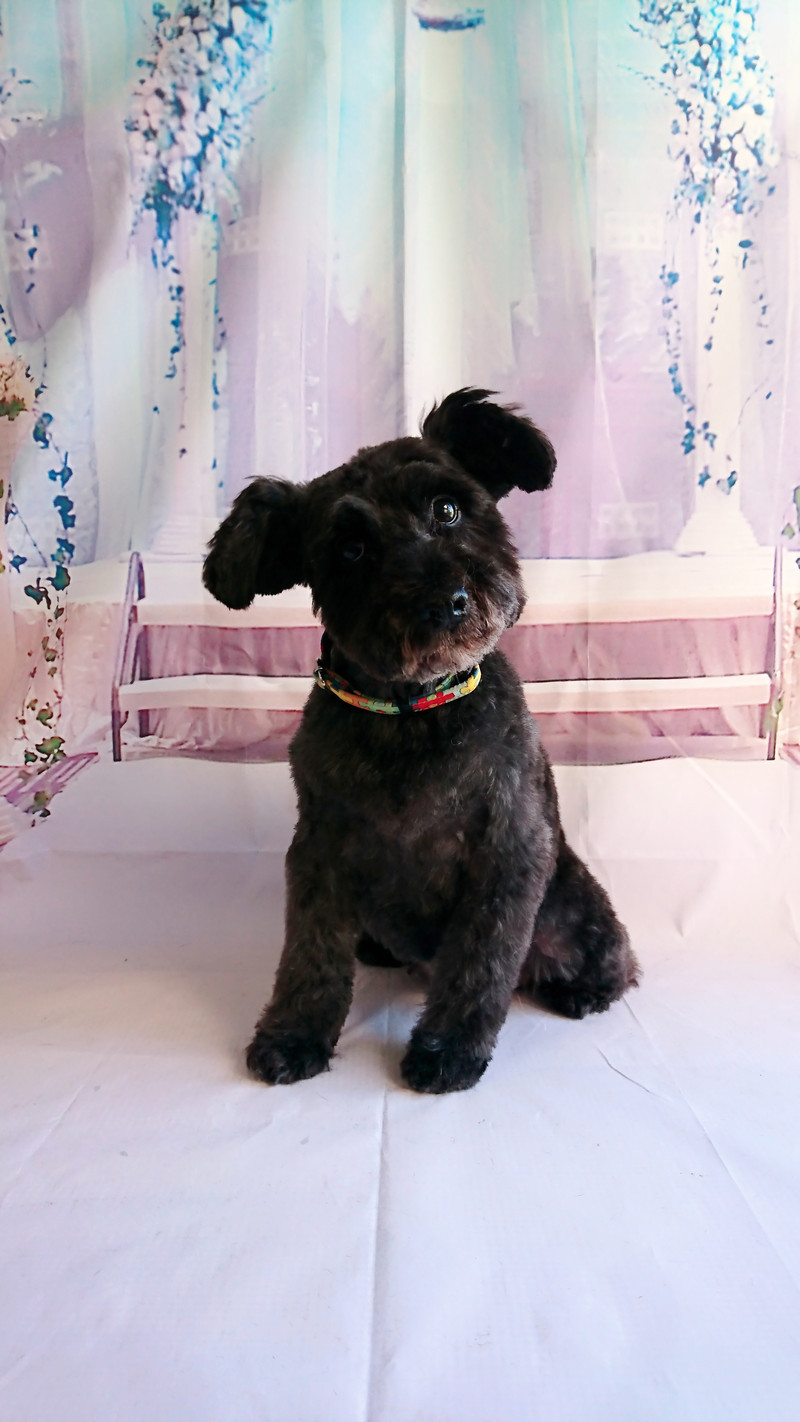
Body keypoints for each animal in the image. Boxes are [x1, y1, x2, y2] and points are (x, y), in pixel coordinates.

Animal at [203, 389, 639, 1093]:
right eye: (351, 550)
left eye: (448, 509)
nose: (448, 601)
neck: (410, 712)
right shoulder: (320, 848)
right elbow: (310, 952)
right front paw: (294, 1034)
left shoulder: (508, 852)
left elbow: (481, 962)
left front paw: (449, 1050)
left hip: (571, 903)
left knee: (605, 954)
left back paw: (583, 989)